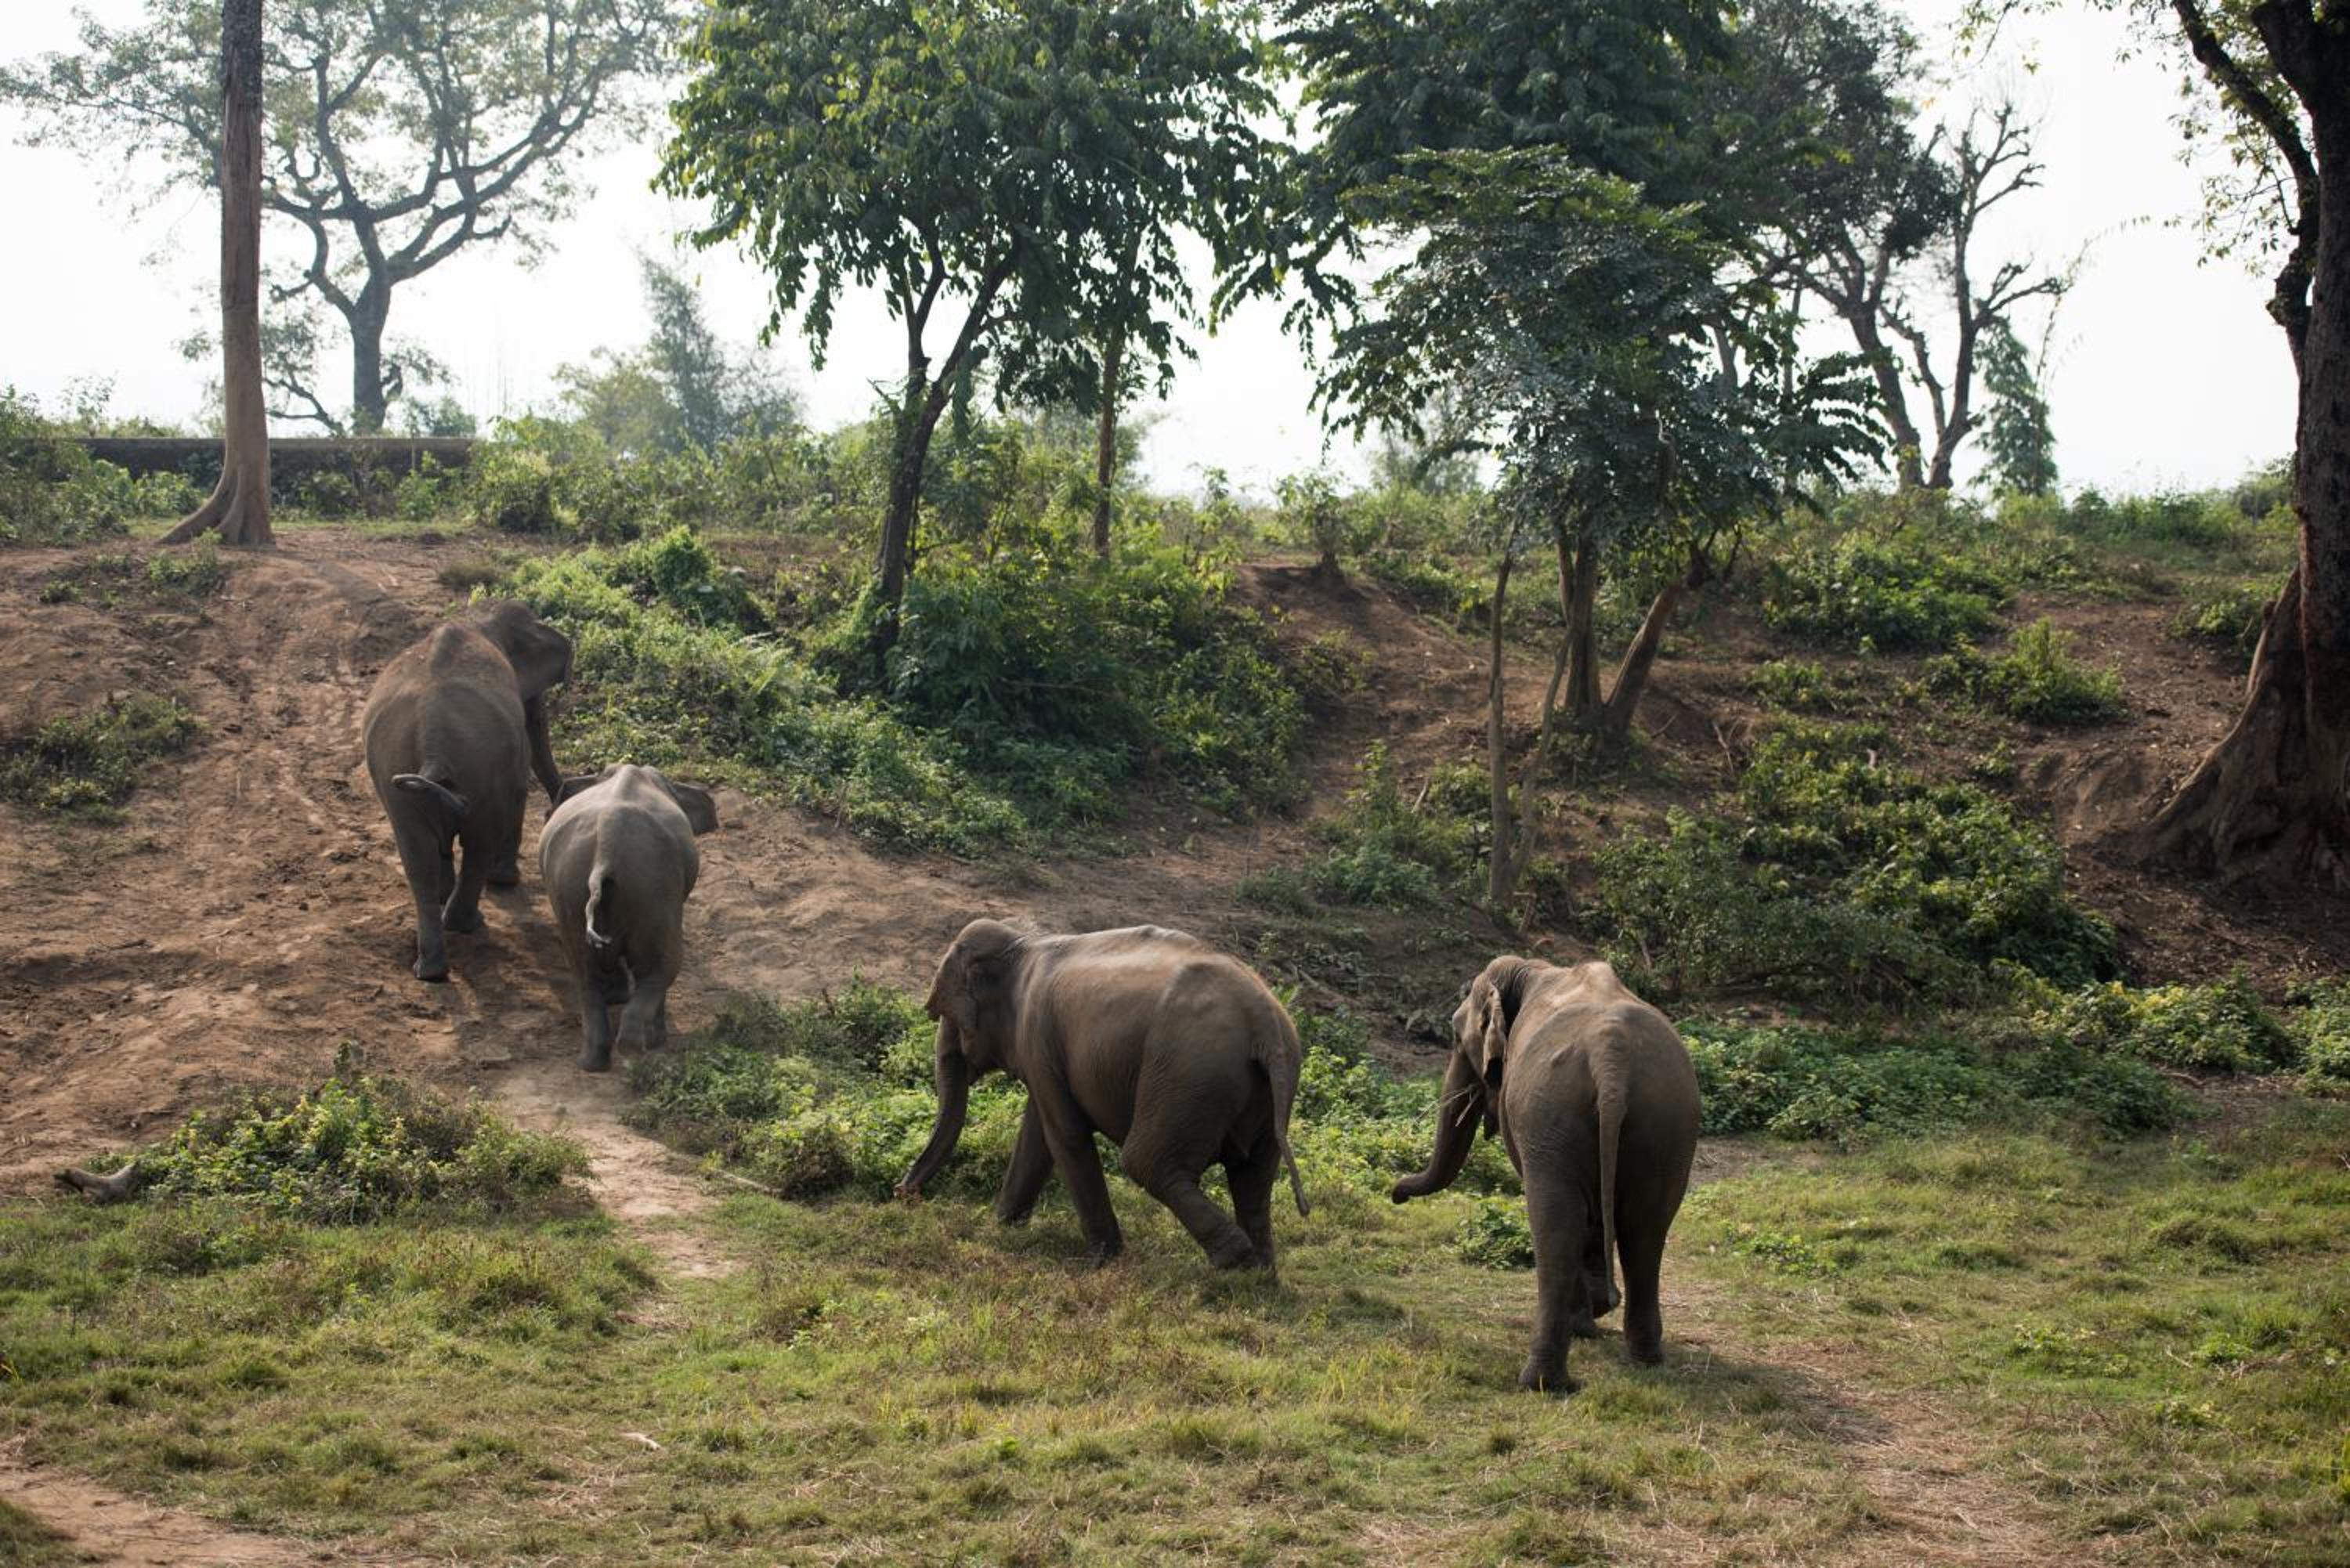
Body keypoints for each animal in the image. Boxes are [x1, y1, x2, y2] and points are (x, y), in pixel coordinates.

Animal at [360, 600, 572, 980]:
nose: (554, 809)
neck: (482, 620)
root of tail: (433, 746)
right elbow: (519, 785)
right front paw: (505, 880)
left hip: (397, 775)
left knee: (417, 856)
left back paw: (431, 968)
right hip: (477, 769)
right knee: (478, 841)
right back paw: (466, 923)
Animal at [539, 764, 718, 1072]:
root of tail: (604, 855)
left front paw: (615, 995)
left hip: (571, 886)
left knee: (585, 975)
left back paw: (592, 1064)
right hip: (653, 890)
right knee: (660, 969)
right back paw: (639, 1048)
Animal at [897, 920, 1308, 1271]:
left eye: (943, 1013)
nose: (902, 1193)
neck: (1023, 944)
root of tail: (1264, 1023)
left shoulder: (1035, 1033)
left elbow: (1064, 1135)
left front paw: (1101, 1262)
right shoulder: (1045, 1053)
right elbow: (1038, 1134)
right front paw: (1003, 1225)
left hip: (1189, 1073)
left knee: (1146, 1162)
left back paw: (1234, 1261)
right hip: (1261, 1088)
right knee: (1253, 1174)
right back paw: (1260, 1273)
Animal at [1392, 957, 1699, 1394]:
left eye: (1455, 1037)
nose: (1396, 1194)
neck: (1530, 969)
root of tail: (1612, 1059)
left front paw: (1588, 1321)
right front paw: (1597, 1312)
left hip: (1554, 1118)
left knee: (1556, 1225)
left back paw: (1542, 1381)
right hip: (1666, 1122)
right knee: (1646, 1227)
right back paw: (1645, 1359)